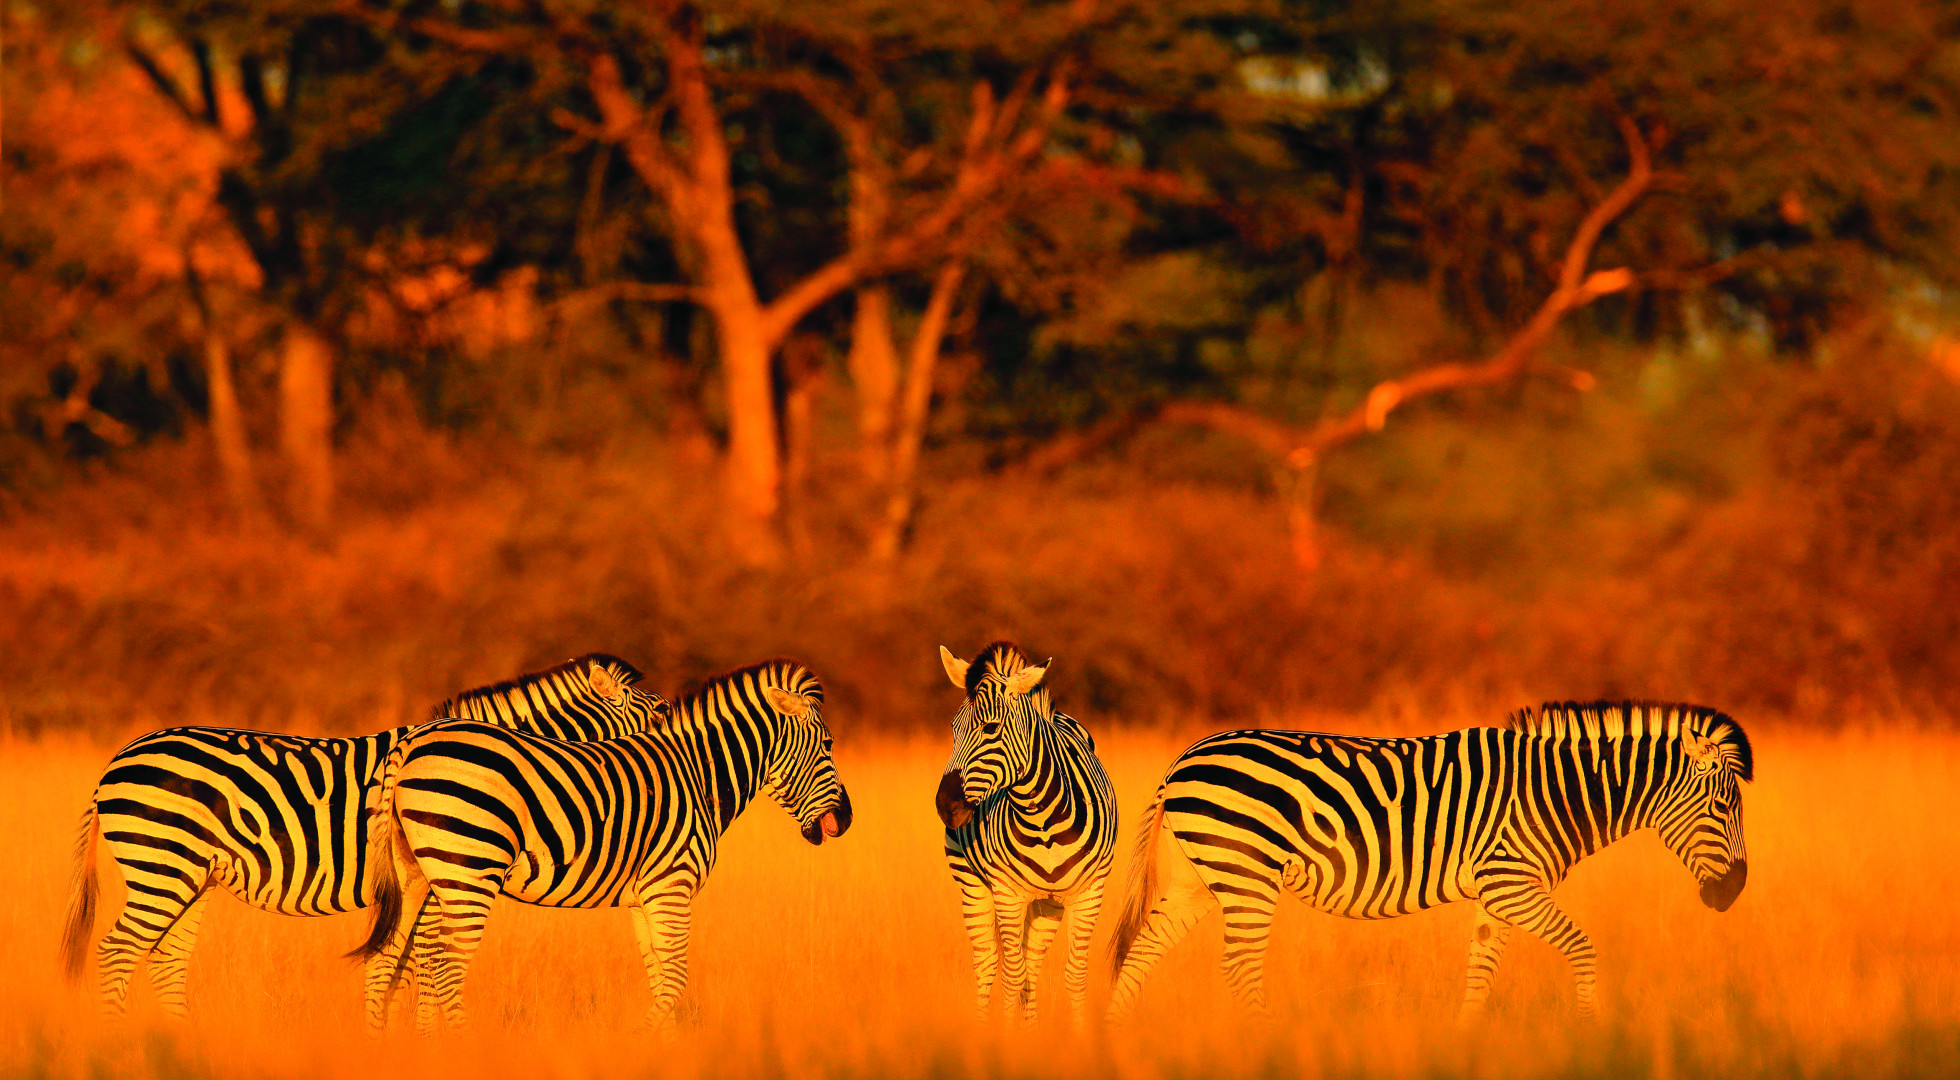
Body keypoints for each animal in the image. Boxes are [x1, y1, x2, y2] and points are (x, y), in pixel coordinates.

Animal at [59, 653, 670, 1016]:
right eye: (663, 715)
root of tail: (117, 759)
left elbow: (401, 969)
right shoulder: (435, 884)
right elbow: (419, 970)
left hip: (191, 875)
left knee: (165, 958)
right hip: (163, 862)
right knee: (119, 951)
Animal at [353, 659, 853, 1032]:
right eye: (829, 744)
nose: (847, 820)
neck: (698, 773)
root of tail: (412, 742)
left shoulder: (645, 895)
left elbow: (659, 975)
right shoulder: (672, 885)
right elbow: (675, 978)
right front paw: (642, 1041)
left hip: (413, 875)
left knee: (384, 963)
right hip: (468, 868)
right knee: (446, 968)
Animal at [934, 643, 1118, 1023]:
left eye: (991, 728)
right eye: (953, 728)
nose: (945, 805)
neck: (1043, 819)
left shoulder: (1091, 892)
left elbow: (1074, 974)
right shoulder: (1007, 893)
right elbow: (1011, 974)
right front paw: (1007, 1034)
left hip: (1049, 903)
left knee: (1031, 962)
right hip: (970, 882)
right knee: (988, 962)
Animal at [1106, 700, 1751, 1020]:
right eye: (1723, 807)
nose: (1734, 894)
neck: (1558, 794)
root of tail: (1183, 761)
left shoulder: (1497, 894)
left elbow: (1480, 971)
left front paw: (1465, 1045)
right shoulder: (1512, 881)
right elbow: (1582, 947)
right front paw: (1592, 1031)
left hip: (1199, 878)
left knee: (1140, 954)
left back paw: (1113, 1041)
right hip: (1246, 874)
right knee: (1238, 968)